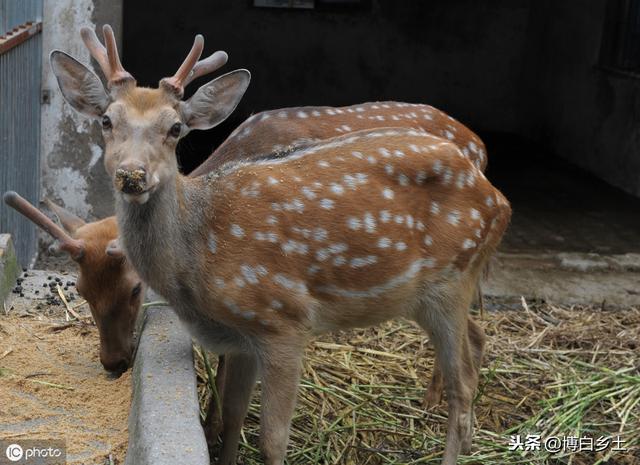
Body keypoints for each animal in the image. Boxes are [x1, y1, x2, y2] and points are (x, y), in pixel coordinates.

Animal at [48, 26, 510, 464]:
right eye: (107, 120)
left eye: (175, 128)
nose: (132, 174)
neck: (198, 257)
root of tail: (498, 198)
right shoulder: (242, 336)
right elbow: (234, 416)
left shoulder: (284, 319)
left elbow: (272, 440)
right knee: (474, 344)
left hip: (453, 278)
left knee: (463, 384)